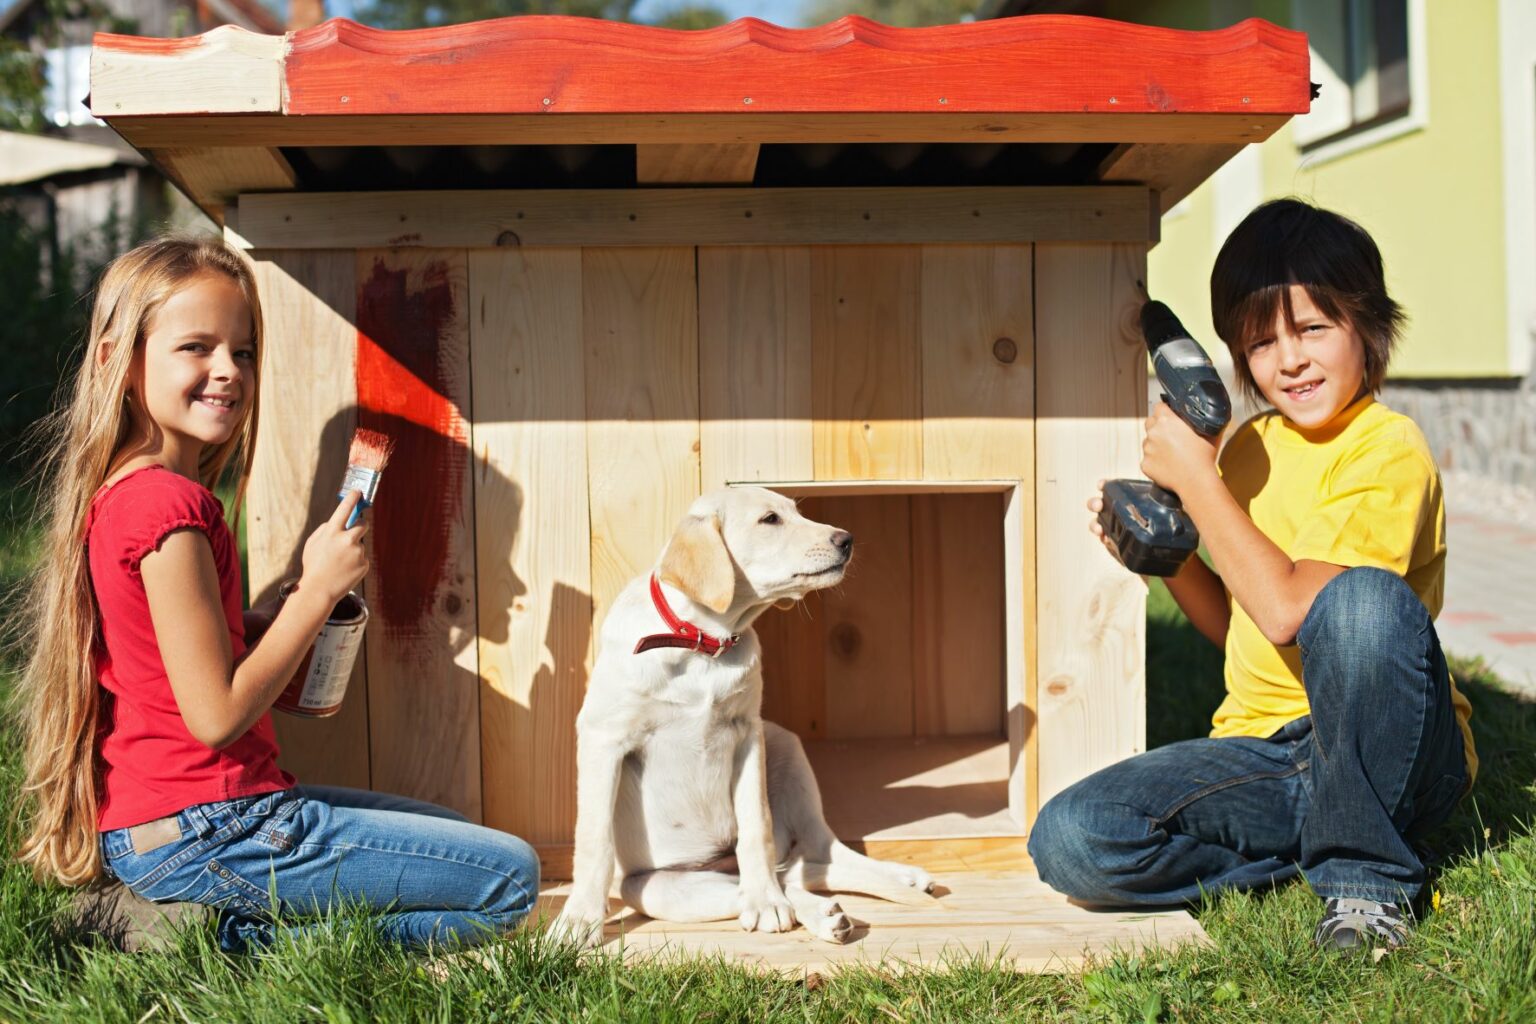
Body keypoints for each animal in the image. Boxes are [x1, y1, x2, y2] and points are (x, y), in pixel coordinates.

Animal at [552, 485, 933, 951]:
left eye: (795, 512)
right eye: (770, 519)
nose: (846, 540)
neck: (703, 643)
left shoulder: (748, 735)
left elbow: (757, 824)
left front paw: (765, 901)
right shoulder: (603, 738)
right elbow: (594, 838)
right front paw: (579, 919)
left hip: (785, 745)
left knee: (818, 856)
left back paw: (887, 880)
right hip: (658, 889)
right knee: (785, 881)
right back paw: (820, 913)